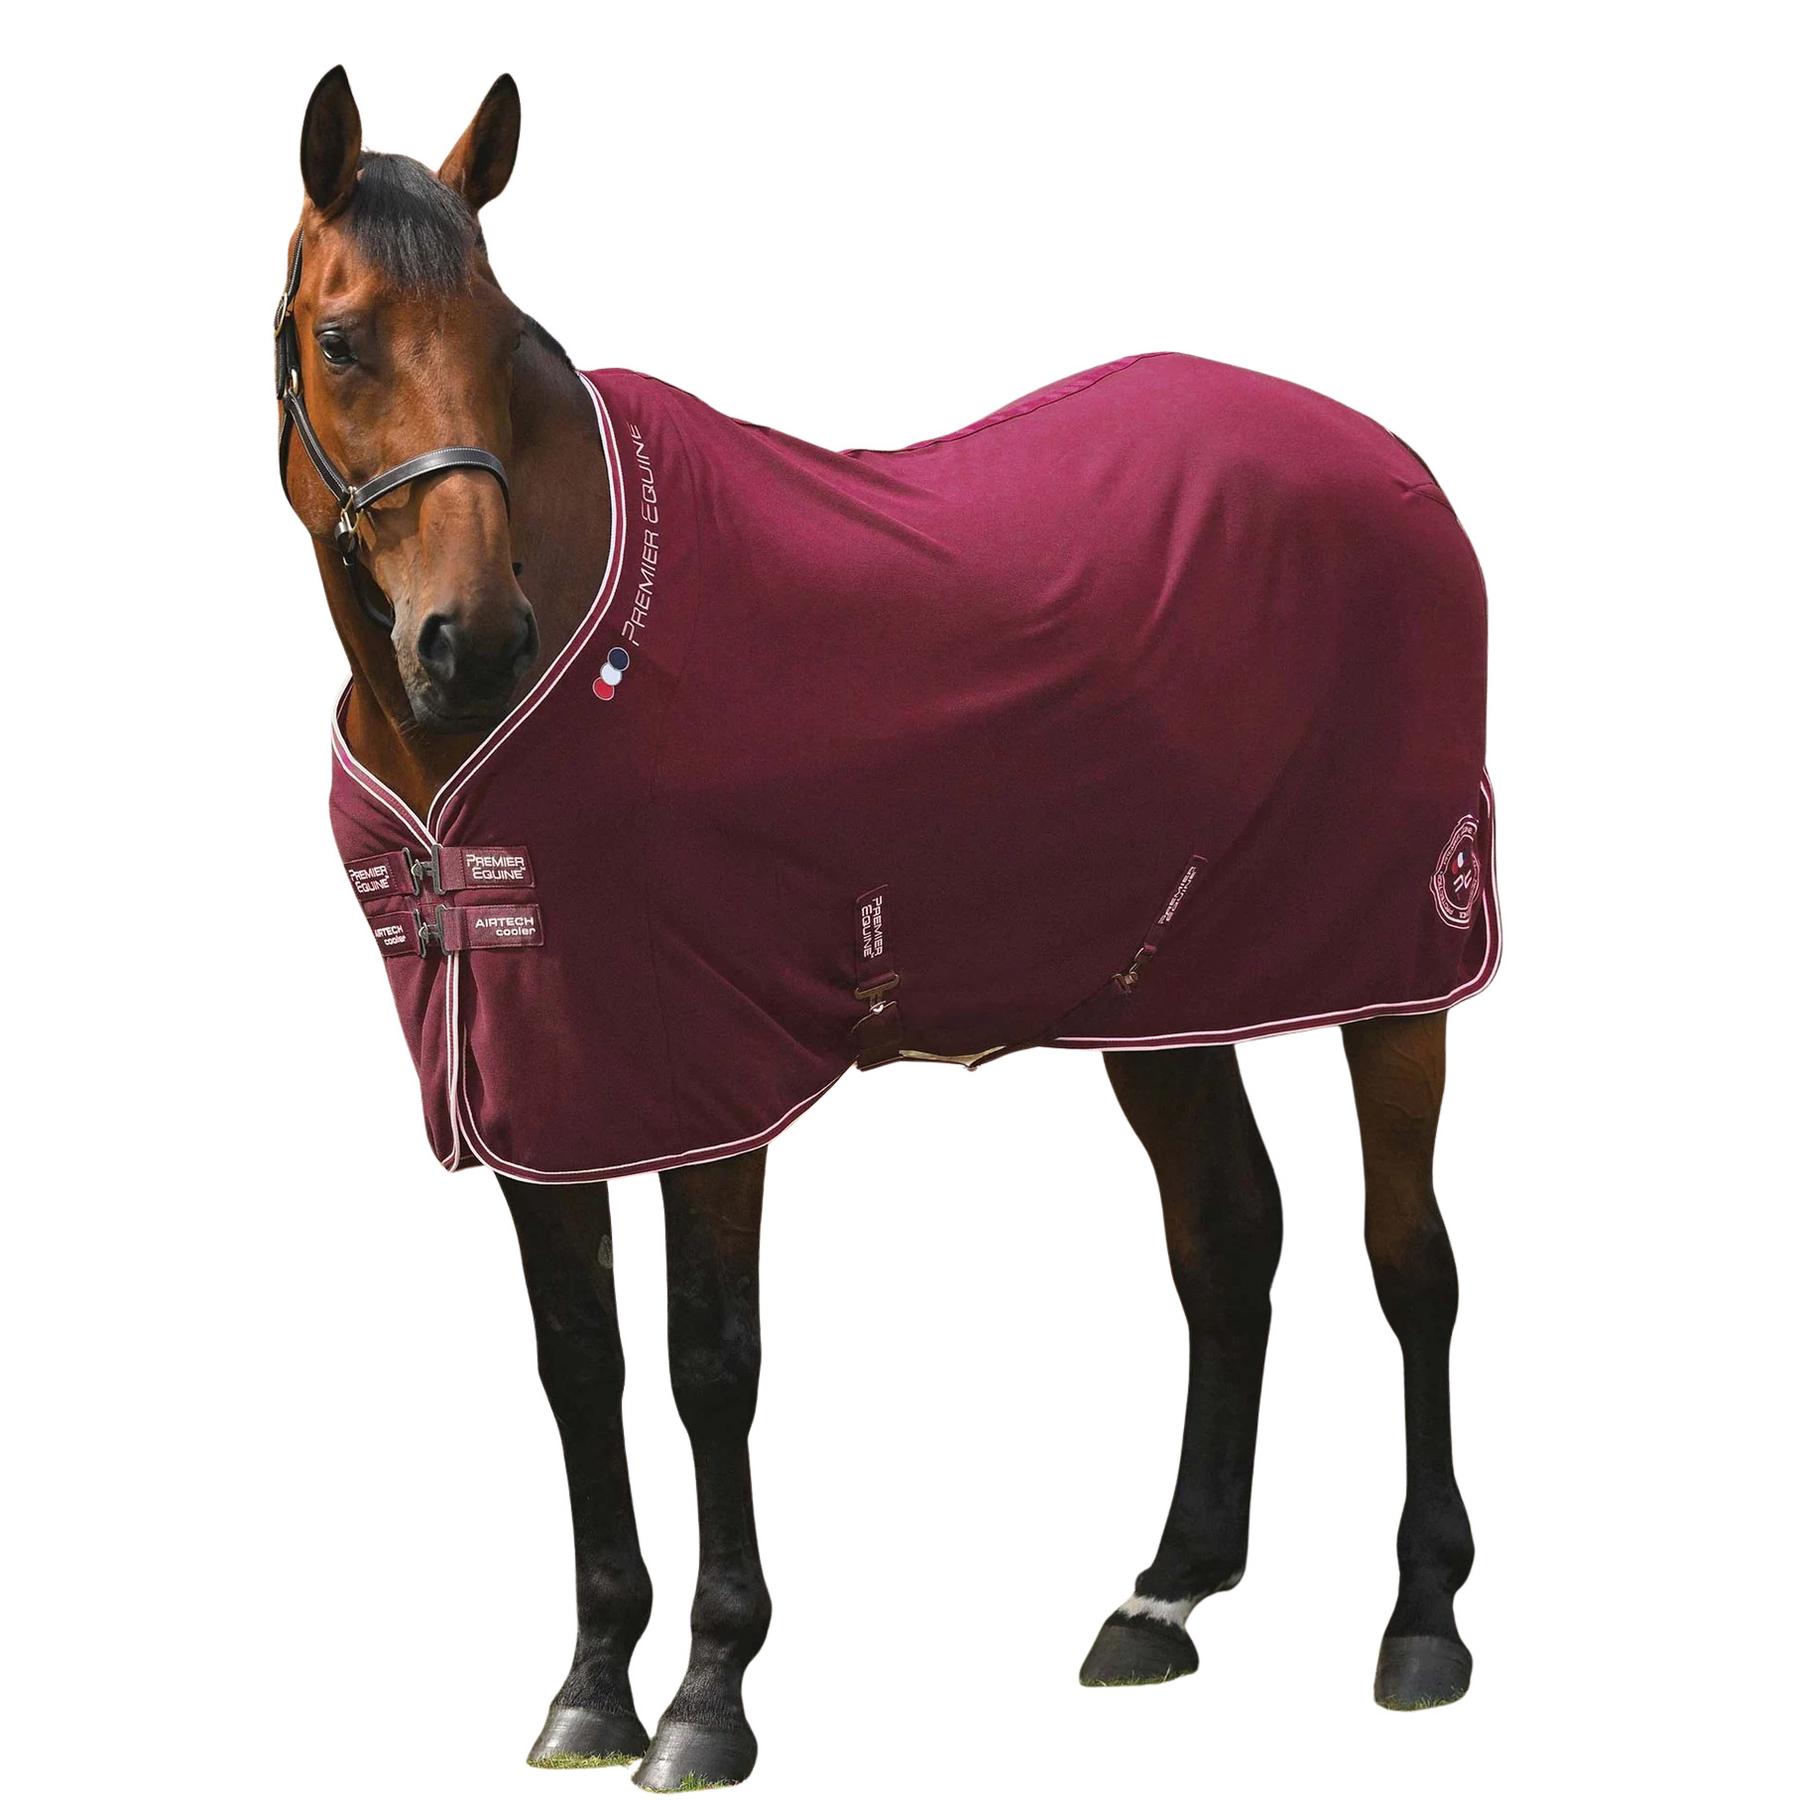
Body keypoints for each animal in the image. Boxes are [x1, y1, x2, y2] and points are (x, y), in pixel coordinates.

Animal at [277, 65, 1492, 1788]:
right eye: (343, 336)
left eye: (500, 327)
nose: (473, 640)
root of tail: (1399, 467)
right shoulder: (543, 1085)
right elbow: (580, 1363)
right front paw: (591, 1685)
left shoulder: (703, 1075)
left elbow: (710, 1364)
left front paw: (710, 1695)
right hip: (1165, 995)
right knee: (1228, 1239)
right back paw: (1166, 1596)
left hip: (1400, 966)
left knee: (1412, 1262)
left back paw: (1423, 1624)